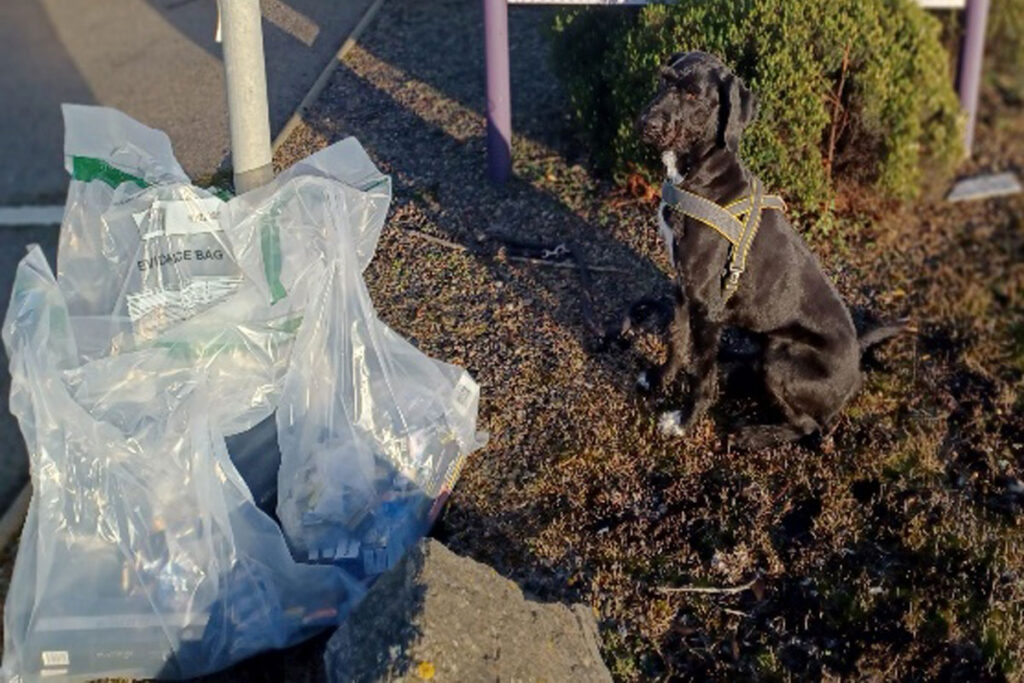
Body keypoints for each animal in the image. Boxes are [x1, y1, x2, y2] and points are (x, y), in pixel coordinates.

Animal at [626, 52, 901, 448]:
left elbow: (701, 376)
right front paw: (659, 379)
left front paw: (684, 421)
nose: (646, 123)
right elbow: (677, 342)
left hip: (781, 356)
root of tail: (856, 363)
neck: (702, 174)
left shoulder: (708, 307)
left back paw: (752, 434)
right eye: (663, 80)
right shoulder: (682, 288)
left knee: (809, 426)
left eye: (693, 95)